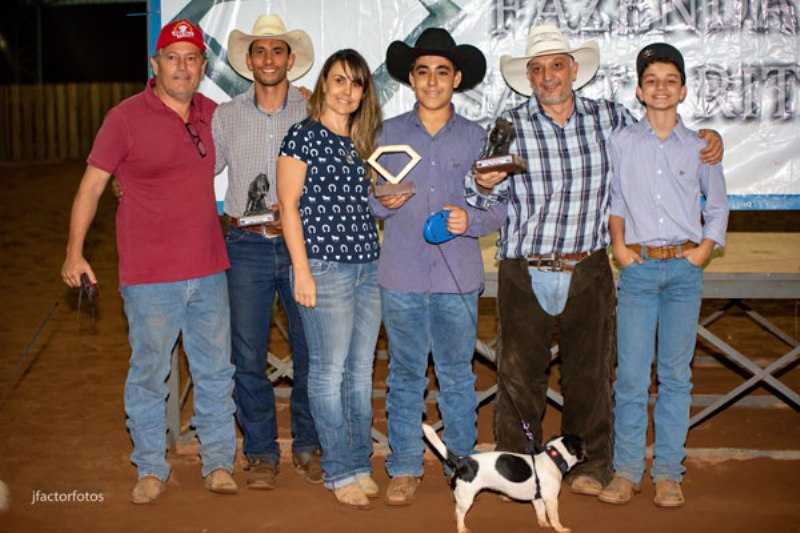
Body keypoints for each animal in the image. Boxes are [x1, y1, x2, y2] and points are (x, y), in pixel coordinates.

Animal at [422, 424, 584, 532]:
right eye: (581, 444)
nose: (587, 451)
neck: (553, 458)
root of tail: (461, 461)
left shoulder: (537, 498)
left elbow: (541, 512)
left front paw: (543, 524)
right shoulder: (551, 499)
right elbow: (555, 517)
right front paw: (560, 529)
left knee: (456, 510)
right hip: (467, 498)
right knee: (460, 513)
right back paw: (462, 528)